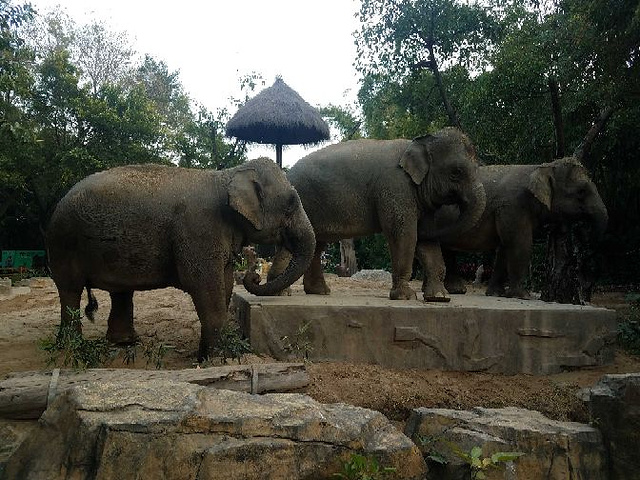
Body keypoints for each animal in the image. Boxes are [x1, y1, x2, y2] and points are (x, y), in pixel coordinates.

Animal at [46, 158, 316, 360]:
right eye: (291, 203)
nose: (255, 275)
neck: (227, 176)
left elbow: (226, 281)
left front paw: (212, 354)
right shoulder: (199, 230)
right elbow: (203, 283)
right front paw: (218, 358)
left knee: (120, 292)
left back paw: (124, 343)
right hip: (63, 243)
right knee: (70, 290)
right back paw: (70, 348)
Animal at [268, 127, 484, 300]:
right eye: (456, 172)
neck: (417, 142)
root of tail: (286, 174)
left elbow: (426, 239)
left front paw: (439, 297)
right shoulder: (395, 186)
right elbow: (403, 232)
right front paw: (405, 297)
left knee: (316, 244)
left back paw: (319, 292)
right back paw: (280, 292)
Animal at [420, 158, 608, 298]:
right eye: (582, 191)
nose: (583, 233)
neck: (541, 167)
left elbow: (505, 247)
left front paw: (496, 294)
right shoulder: (513, 206)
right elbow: (520, 243)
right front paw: (522, 296)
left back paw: (453, 291)